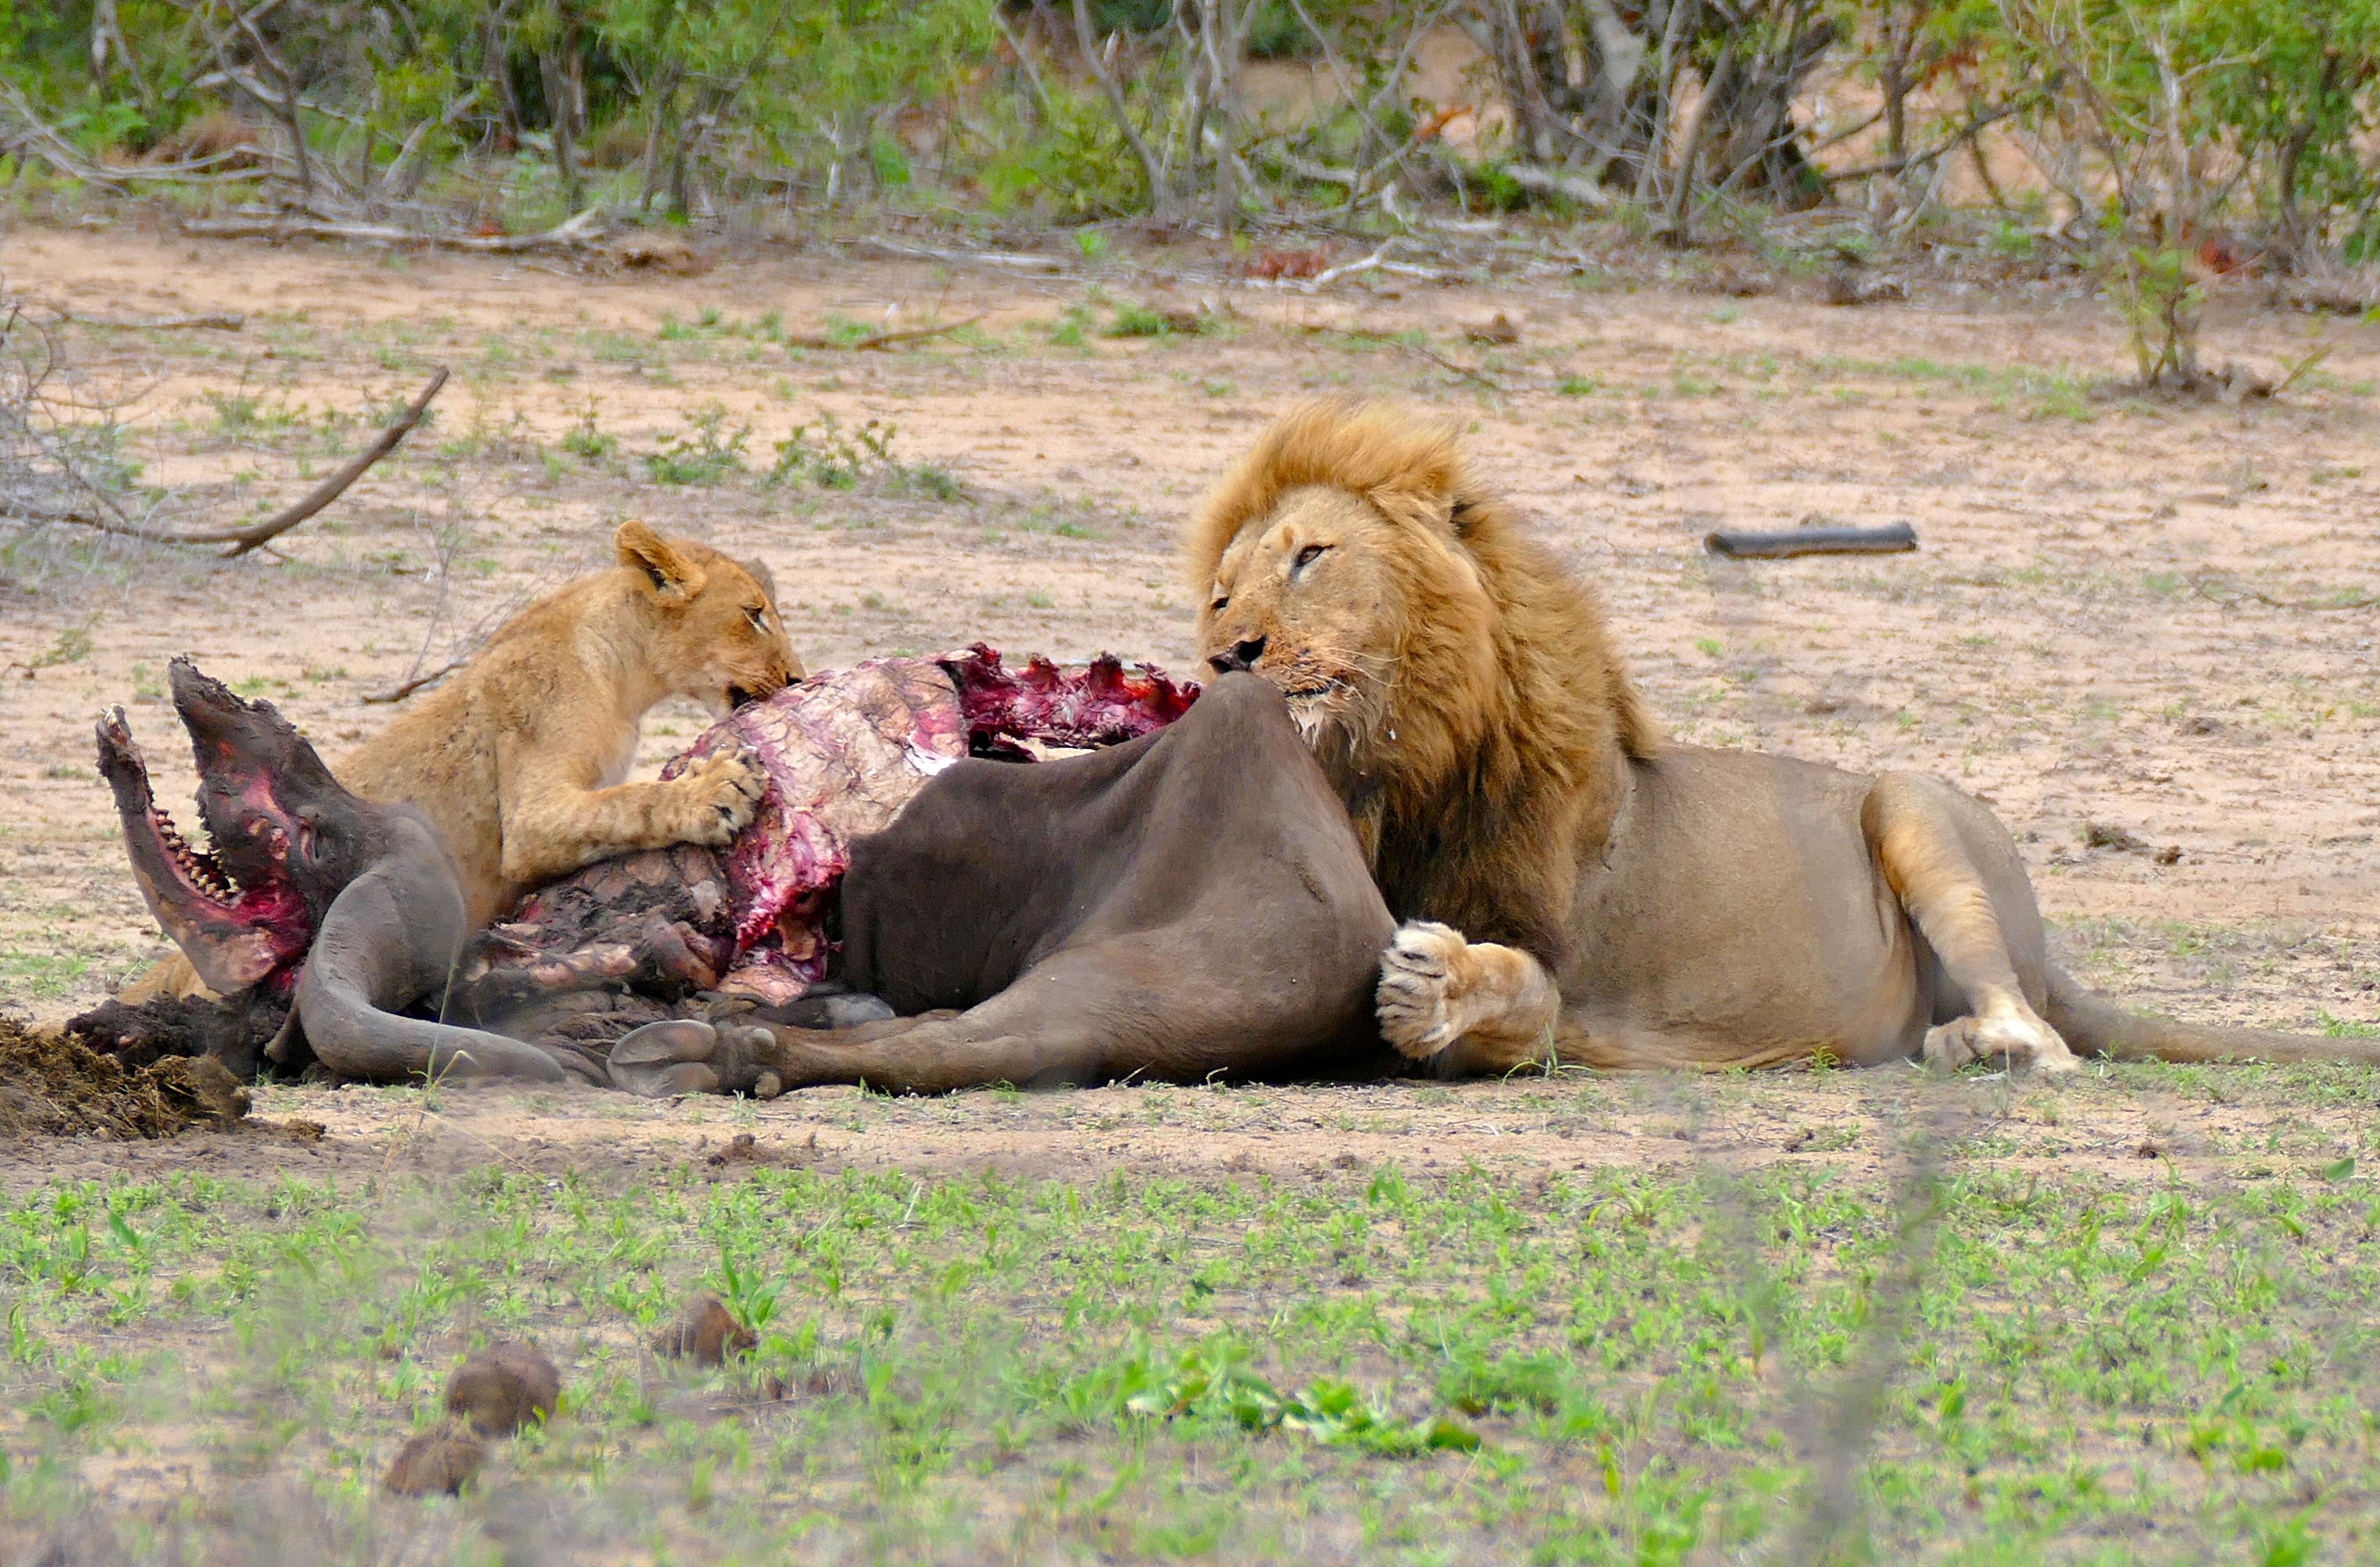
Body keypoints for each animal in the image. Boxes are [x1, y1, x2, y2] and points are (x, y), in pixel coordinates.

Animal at [126, 519, 795, 995]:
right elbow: (631, 803)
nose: (795, 677)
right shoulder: (531, 819)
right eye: (754, 614)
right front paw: (714, 790)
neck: (623, 676)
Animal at [1199, 398, 2370, 1076]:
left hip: (1908, 797)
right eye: (1219, 591)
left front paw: (1433, 984)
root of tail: (2048, 962)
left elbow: (1524, 997)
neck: (1410, 769)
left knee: (2041, 1042)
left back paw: (1972, 1044)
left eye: (1310, 556)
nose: (1229, 655)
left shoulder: (1574, 978)